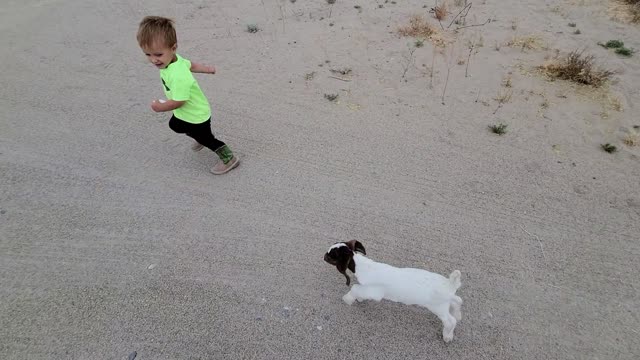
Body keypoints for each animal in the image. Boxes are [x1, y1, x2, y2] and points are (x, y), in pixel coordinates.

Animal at [324, 240, 460, 342]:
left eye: (332, 255)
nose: (324, 256)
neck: (362, 266)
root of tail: (450, 284)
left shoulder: (375, 292)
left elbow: (355, 288)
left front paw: (348, 299)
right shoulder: (369, 290)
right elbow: (359, 290)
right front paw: (359, 298)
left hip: (438, 307)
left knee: (450, 321)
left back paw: (447, 336)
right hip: (446, 303)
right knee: (457, 302)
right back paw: (458, 315)